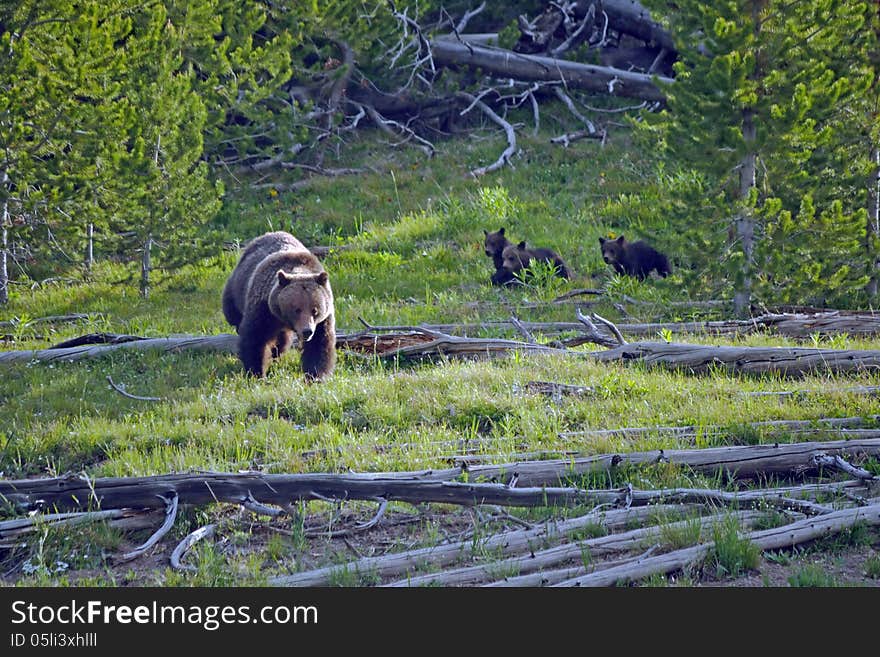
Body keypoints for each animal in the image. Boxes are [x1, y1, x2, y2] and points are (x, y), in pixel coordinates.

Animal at [223, 233, 336, 382]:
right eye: (297, 309)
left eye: (315, 310)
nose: (307, 331)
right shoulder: (263, 308)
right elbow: (255, 339)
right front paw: (257, 373)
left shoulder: (323, 321)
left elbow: (319, 344)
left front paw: (315, 376)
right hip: (237, 286)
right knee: (231, 312)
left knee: (282, 340)